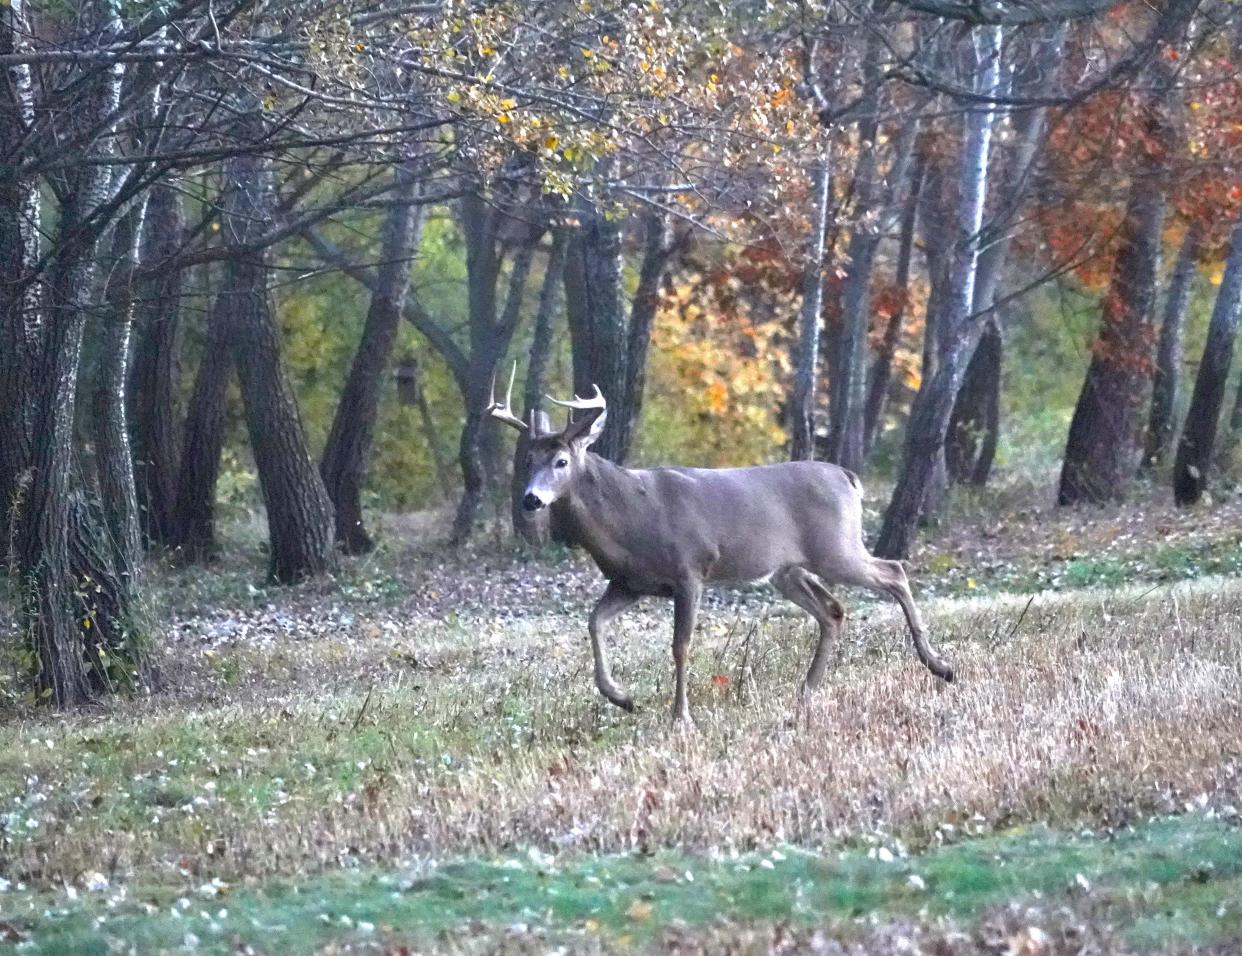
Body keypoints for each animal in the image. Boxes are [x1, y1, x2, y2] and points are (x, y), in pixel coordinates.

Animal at [489, 367, 953, 725]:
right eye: (527, 460)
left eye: (561, 461)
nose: (531, 500)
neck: (630, 517)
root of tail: (848, 476)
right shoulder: (630, 583)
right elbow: (593, 623)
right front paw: (622, 697)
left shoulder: (689, 569)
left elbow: (680, 646)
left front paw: (681, 717)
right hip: (787, 571)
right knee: (833, 610)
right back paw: (807, 691)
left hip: (836, 548)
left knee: (893, 571)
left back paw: (940, 666)